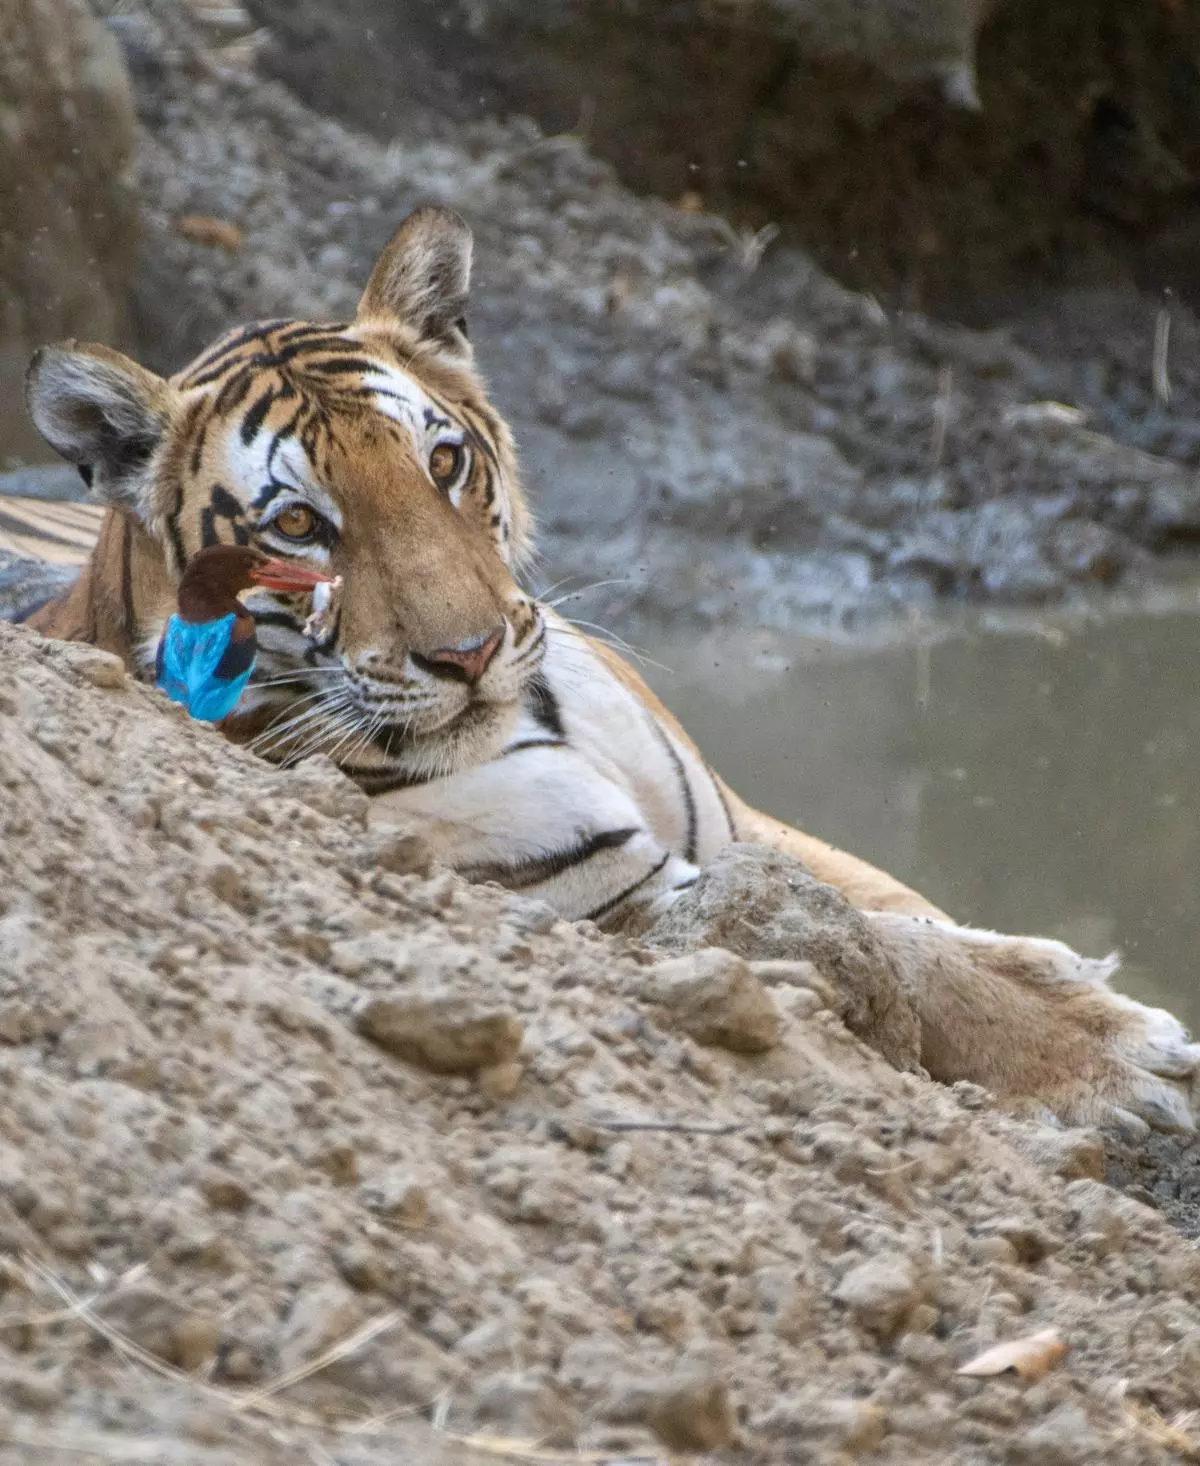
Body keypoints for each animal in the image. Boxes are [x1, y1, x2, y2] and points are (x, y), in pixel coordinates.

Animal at [4, 203, 1195, 1131]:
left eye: (445, 462)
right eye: (299, 525)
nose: (472, 652)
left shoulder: (742, 823)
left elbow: (904, 910)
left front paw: (1065, 978)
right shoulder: (618, 892)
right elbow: (882, 950)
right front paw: (1117, 1055)